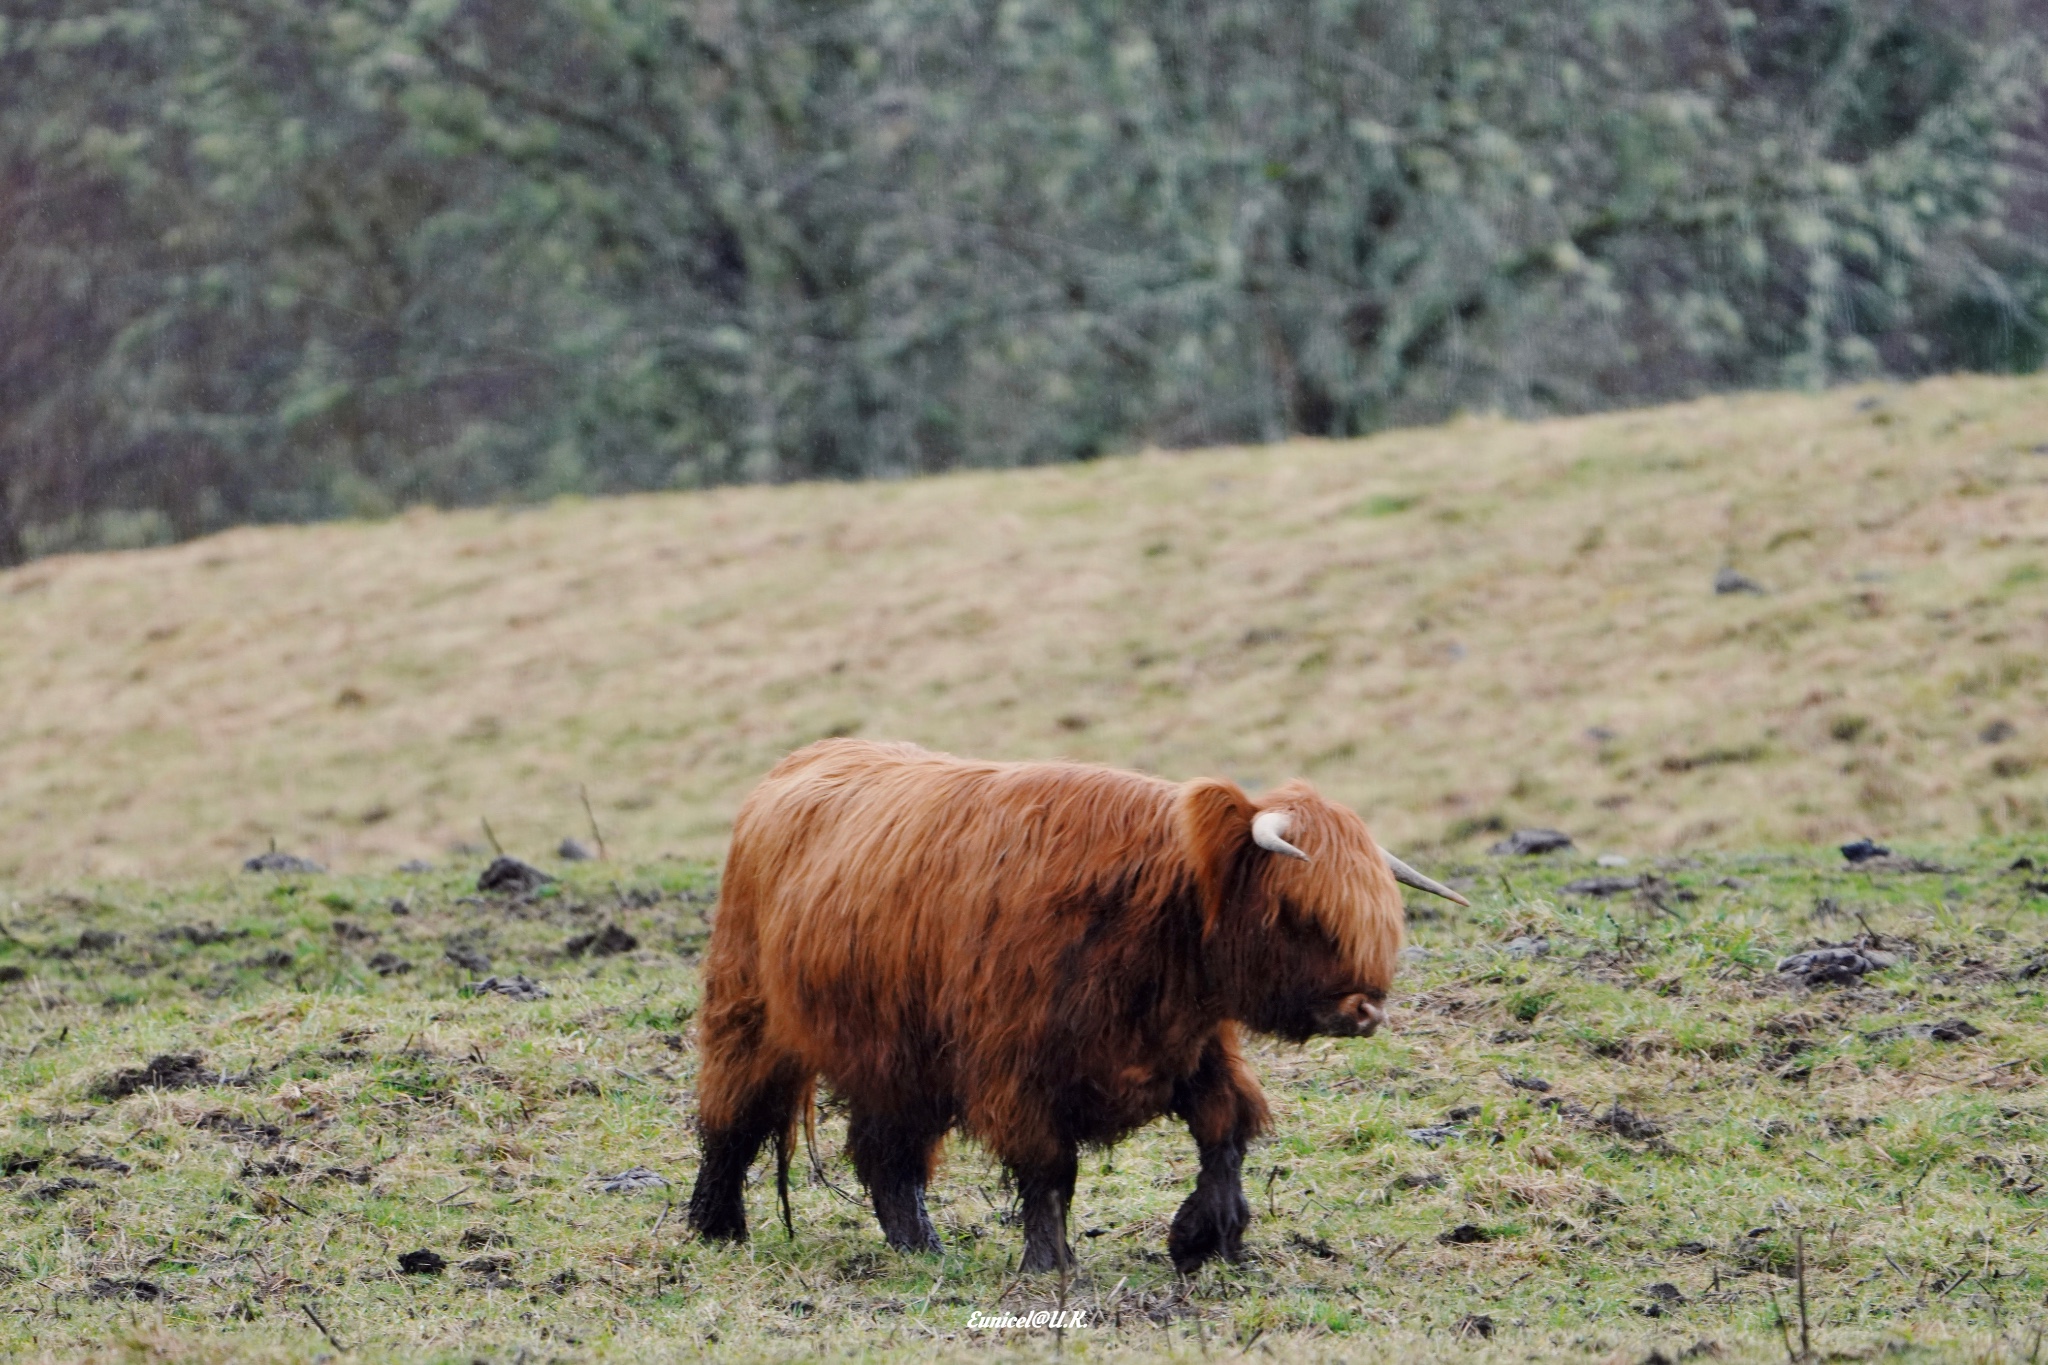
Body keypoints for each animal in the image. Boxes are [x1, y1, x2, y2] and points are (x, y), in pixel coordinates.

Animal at [688, 740, 1474, 1277]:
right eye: (1299, 912)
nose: (1364, 1009)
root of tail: (802, 760)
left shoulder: (1196, 1047)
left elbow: (1225, 1131)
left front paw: (1208, 1236)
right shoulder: (1016, 1067)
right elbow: (1049, 1170)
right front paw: (1049, 1262)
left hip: (897, 1053)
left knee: (888, 1154)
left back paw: (922, 1246)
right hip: (748, 1015)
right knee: (731, 1120)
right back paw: (714, 1227)